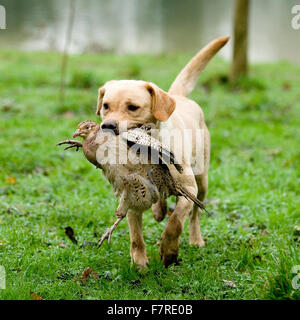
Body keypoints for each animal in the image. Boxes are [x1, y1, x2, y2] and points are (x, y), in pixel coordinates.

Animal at [95, 37, 229, 268]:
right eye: (105, 106)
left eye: (132, 107)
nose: (108, 126)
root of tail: (177, 96)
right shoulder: (131, 196)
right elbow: (136, 236)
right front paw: (139, 262)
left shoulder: (189, 189)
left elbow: (175, 222)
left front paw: (168, 251)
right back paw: (159, 209)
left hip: (202, 180)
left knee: (194, 215)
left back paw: (196, 239)